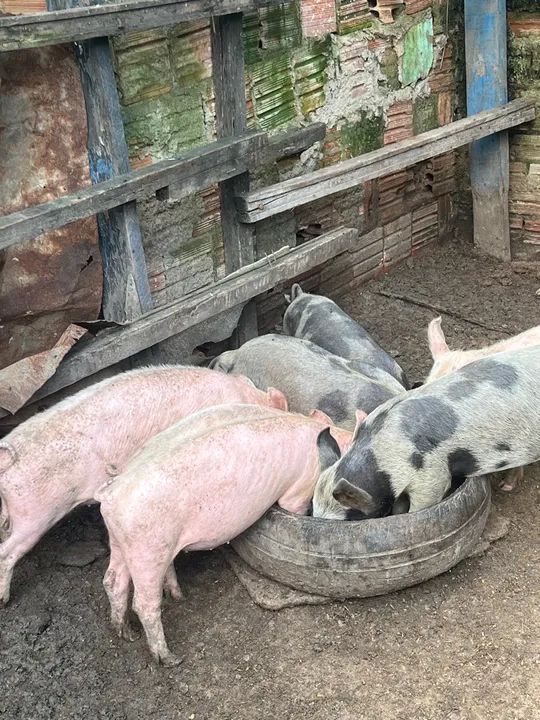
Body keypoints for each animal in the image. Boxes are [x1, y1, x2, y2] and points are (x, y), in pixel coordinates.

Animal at [96, 403, 353, 666]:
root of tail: (111, 495)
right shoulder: (298, 491)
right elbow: (293, 506)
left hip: (122, 541)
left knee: (112, 580)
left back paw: (129, 631)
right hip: (147, 548)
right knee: (144, 604)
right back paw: (170, 658)